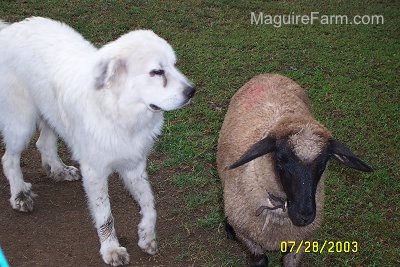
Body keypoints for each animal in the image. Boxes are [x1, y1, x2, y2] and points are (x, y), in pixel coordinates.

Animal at [0, 17, 195, 266]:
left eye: (174, 65)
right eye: (157, 72)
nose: (192, 91)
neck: (119, 112)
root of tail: (10, 28)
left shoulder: (134, 164)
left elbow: (150, 203)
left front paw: (146, 235)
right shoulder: (95, 172)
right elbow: (105, 216)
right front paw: (111, 249)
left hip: (50, 114)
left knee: (43, 144)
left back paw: (59, 171)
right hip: (22, 122)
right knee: (9, 159)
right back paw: (19, 195)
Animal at [217, 74, 374, 267]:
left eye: (323, 164)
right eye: (280, 160)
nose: (304, 215)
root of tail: (270, 74)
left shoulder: (300, 242)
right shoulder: (248, 238)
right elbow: (260, 260)